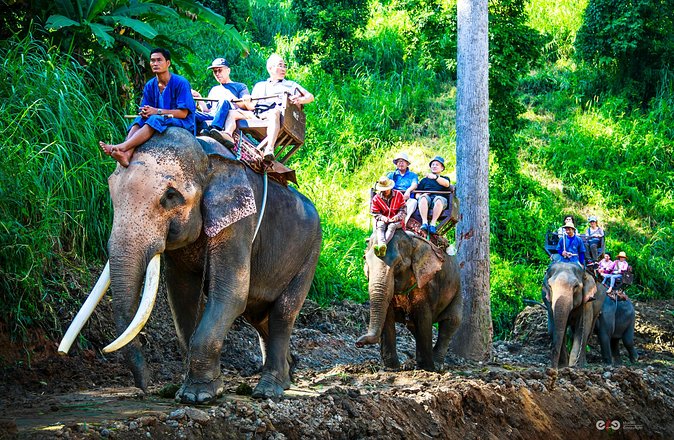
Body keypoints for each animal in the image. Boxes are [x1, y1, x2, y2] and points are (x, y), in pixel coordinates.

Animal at [58, 127, 320, 402]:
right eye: (111, 191)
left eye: (170, 196)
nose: (145, 386)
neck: (207, 156)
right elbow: (182, 296)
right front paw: (190, 391)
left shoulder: (239, 222)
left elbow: (231, 294)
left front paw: (198, 396)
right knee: (259, 317)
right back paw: (288, 374)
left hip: (310, 254)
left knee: (282, 313)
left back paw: (268, 391)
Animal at [354, 230, 460, 372]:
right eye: (365, 259)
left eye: (398, 264)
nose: (358, 343)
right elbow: (387, 317)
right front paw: (392, 368)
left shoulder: (426, 284)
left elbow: (424, 319)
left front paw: (427, 369)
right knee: (413, 326)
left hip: (458, 289)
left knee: (451, 322)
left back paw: (437, 365)